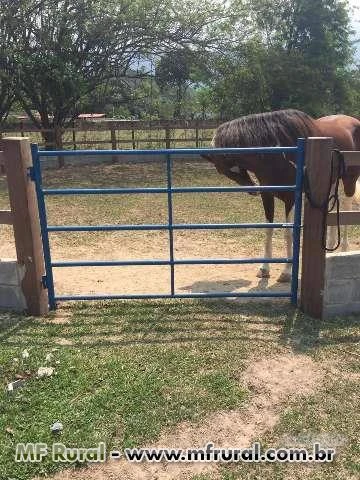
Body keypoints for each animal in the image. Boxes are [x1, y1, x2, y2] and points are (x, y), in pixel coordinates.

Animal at [204, 109, 360, 282]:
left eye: (228, 167)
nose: (253, 189)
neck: (279, 151)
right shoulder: (267, 195)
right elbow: (268, 230)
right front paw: (264, 268)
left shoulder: (290, 198)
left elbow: (288, 233)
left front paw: (287, 272)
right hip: (331, 182)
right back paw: (330, 248)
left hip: (349, 180)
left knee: (347, 209)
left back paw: (344, 250)